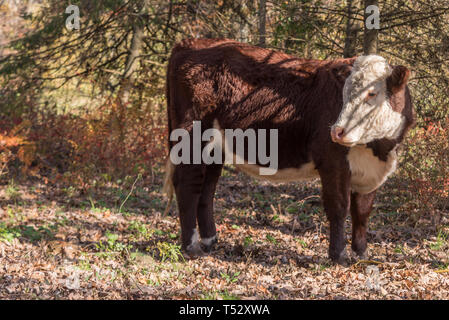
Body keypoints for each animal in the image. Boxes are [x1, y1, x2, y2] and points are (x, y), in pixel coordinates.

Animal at [161, 38, 412, 262]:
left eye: (372, 93)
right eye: (343, 93)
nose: (337, 131)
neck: (379, 148)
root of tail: (191, 43)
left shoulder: (371, 171)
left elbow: (362, 211)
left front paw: (361, 253)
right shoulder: (332, 161)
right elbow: (339, 206)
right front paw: (338, 255)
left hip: (215, 147)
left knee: (207, 189)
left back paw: (210, 241)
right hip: (191, 137)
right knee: (188, 184)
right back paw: (192, 247)